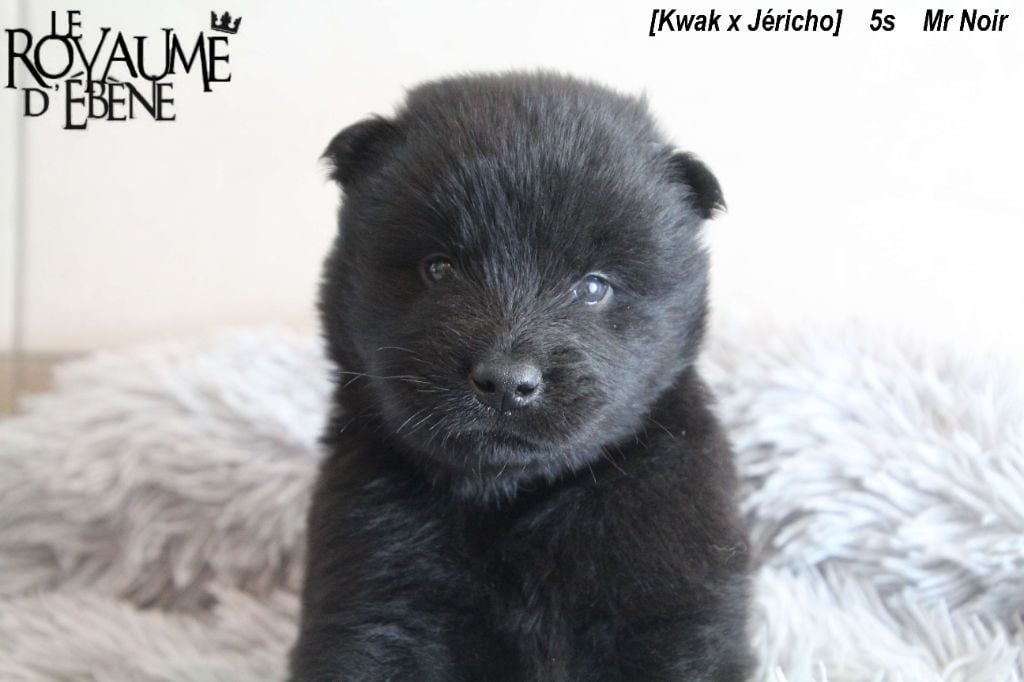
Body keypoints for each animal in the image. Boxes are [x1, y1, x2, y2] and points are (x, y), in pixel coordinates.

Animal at [290, 71, 752, 681]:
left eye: (594, 286)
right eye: (439, 268)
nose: (507, 381)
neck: (513, 496)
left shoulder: (673, 609)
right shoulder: (373, 601)